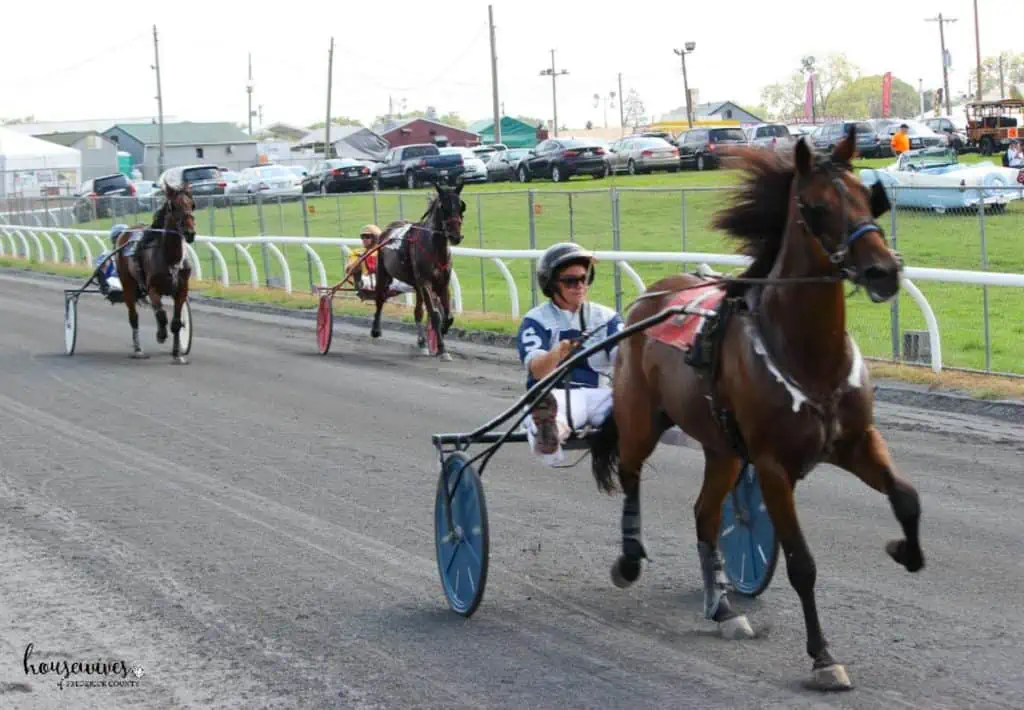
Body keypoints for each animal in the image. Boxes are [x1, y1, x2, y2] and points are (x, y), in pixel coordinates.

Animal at [115, 182, 196, 362]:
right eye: (174, 206)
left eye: (192, 204)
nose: (190, 233)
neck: (170, 258)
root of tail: (127, 232)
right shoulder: (152, 288)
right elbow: (162, 315)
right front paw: (161, 334)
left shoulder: (182, 290)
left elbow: (176, 322)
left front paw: (177, 354)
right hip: (128, 284)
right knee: (134, 317)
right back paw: (138, 350)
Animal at [372, 182, 468, 360]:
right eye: (443, 206)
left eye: (461, 206)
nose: (455, 236)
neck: (434, 247)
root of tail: (388, 230)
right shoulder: (425, 282)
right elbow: (435, 315)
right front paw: (442, 349)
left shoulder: (442, 283)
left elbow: (448, 316)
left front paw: (442, 332)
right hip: (383, 273)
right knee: (380, 299)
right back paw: (375, 329)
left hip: (416, 285)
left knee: (418, 312)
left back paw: (422, 342)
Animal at [589, 124, 925, 688]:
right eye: (816, 207)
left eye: (868, 196)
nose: (883, 272)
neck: (808, 354)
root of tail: (652, 297)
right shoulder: (771, 466)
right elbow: (802, 562)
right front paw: (823, 657)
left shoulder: (856, 442)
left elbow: (906, 497)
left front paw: (906, 551)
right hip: (640, 419)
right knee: (632, 475)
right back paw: (629, 561)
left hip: (723, 449)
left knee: (705, 514)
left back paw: (723, 607)